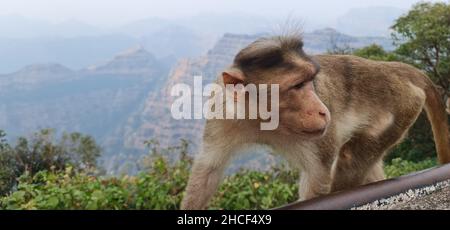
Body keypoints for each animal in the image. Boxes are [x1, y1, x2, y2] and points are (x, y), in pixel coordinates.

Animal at [179, 34, 450, 210]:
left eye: (311, 81)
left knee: (351, 157)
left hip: (402, 107)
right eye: (298, 85)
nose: (322, 112)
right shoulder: (223, 113)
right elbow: (208, 170)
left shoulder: (321, 138)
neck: (262, 119)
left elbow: (317, 179)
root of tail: (393, 69)